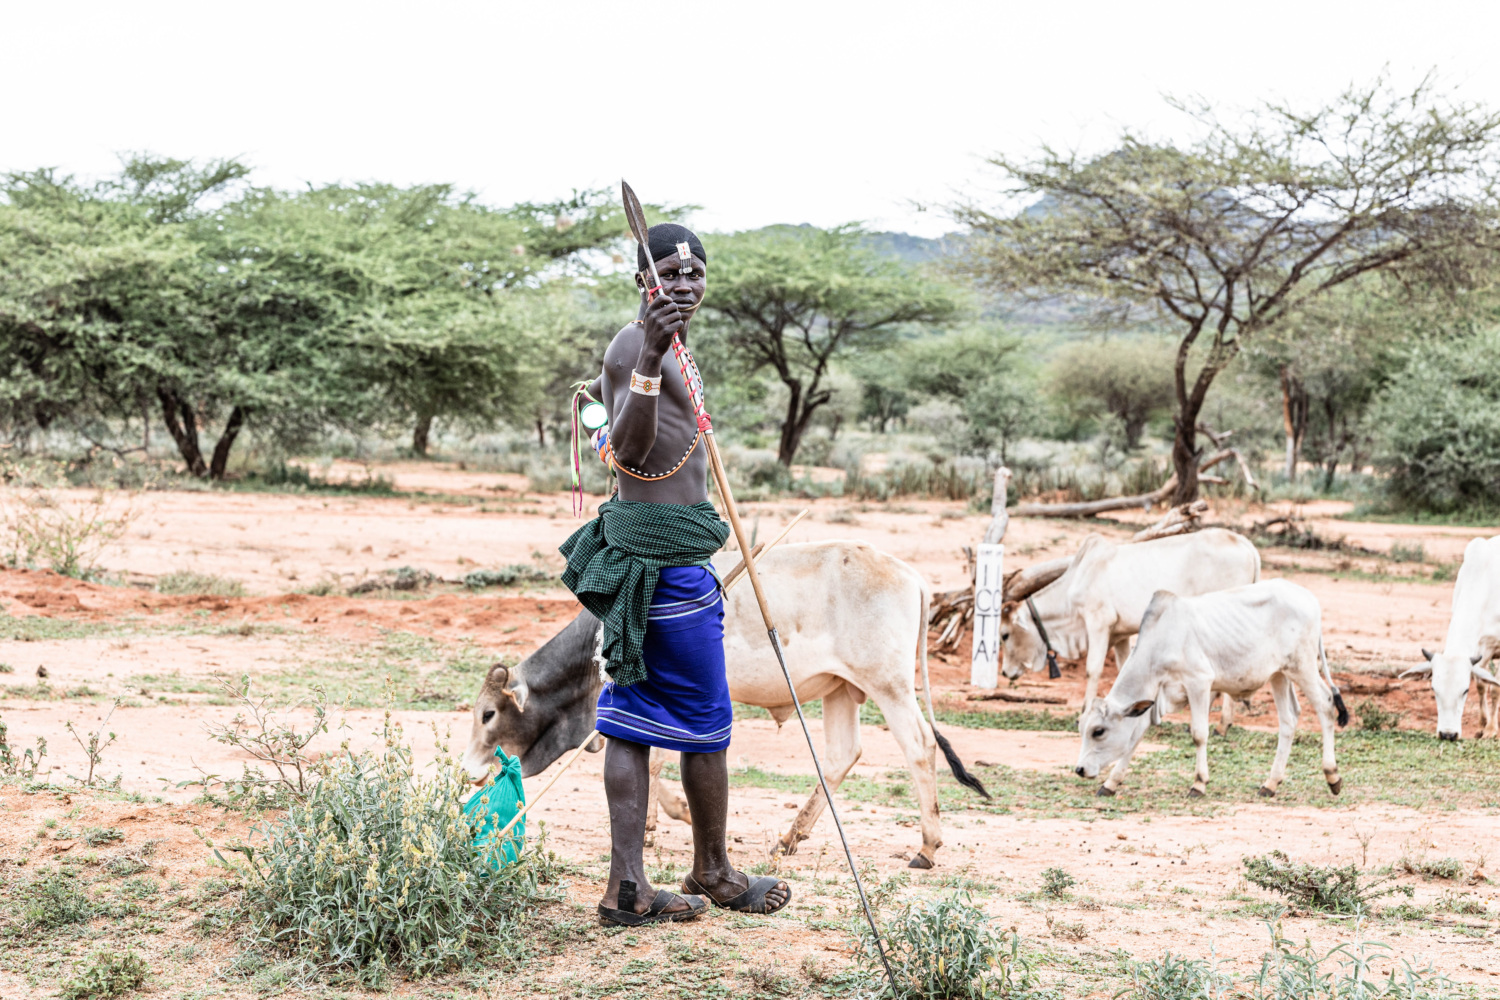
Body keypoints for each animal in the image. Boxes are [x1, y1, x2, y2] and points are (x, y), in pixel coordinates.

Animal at [462, 539, 990, 869]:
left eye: (489, 714)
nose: (469, 769)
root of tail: (912, 576)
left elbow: (654, 763)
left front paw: (670, 816)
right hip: (841, 689)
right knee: (843, 756)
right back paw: (789, 837)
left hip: (890, 686)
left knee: (920, 747)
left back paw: (927, 846)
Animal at [1002, 527, 1260, 707]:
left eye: (1004, 635)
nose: (1004, 672)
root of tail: (1245, 544)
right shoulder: (1120, 633)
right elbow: (1123, 669)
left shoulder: (1098, 622)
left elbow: (1092, 669)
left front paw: (1084, 712)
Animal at [1074, 578, 1356, 797]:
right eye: (1082, 728)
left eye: (1098, 731)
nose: (1079, 769)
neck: (1160, 643)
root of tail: (1309, 597)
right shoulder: (1153, 699)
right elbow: (1135, 738)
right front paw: (1111, 783)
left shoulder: (1199, 683)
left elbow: (1199, 734)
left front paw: (1199, 784)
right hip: (1279, 674)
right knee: (1289, 719)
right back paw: (1271, 783)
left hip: (1303, 666)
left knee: (1325, 704)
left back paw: (1332, 775)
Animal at [1392, 536, 1500, 740]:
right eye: (1434, 689)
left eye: (1465, 690)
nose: (1448, 735)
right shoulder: (1482, 651)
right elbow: (1482, 685)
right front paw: (1482, 726)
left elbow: (1496, 688)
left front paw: (1491, 730)